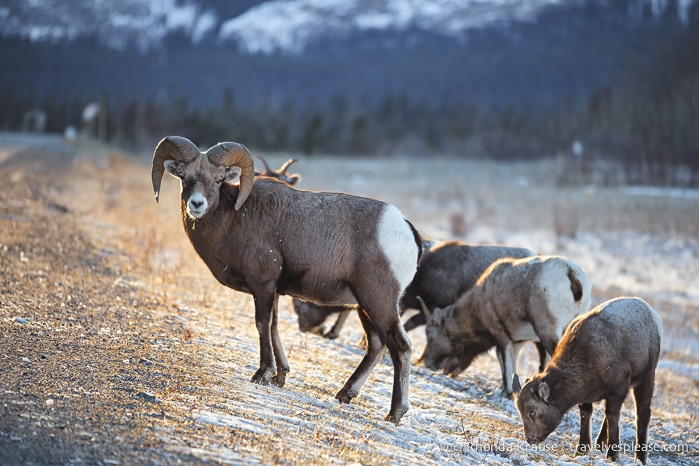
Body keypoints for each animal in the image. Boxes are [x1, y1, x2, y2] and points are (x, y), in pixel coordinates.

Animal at [152, 135, 422, 422]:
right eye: (184, 177)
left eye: (218, 179)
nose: (197, 204)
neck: (234, 217)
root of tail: (406, 229)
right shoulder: (274, 290)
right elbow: (274, 326)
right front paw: (280, 376)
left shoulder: (262, 285)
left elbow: (262, 324)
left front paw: (262, 374)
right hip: (364, 305)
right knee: (376, 345)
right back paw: (344, 395)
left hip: (377, 301)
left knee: (400, 347)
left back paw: (395, 413)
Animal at [422, 255, 592, 396]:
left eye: (430, 334)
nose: (428, 363)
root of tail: (571, 274)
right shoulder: (517, 342)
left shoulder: (502, 337)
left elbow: (505, 363)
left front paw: (505, 392)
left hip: (547, 332)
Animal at [512, 296, 664, 464]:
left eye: (532, 413)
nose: (530, 439)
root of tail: (652, 314)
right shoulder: (589, 397)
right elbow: (587, 414)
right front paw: (581, 450)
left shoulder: (618, 390)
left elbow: (612, 416)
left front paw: (612, 455)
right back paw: (599, 444)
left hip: (646, 378)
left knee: (642, 413)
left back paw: (640, 458)